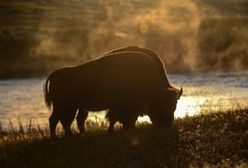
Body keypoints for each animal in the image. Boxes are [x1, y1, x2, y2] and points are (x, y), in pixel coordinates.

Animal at [43, 50, 182, 136]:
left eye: (174, 106)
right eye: (162, 105)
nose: (167, 124)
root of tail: (56, 74)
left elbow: (119, 120)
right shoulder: (121, 107)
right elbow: (118, 119)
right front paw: (116, 131)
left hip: (71, 107)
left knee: (63, 120)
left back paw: (70, 136)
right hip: (65, 106)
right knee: (56, 120)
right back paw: (58, 137)